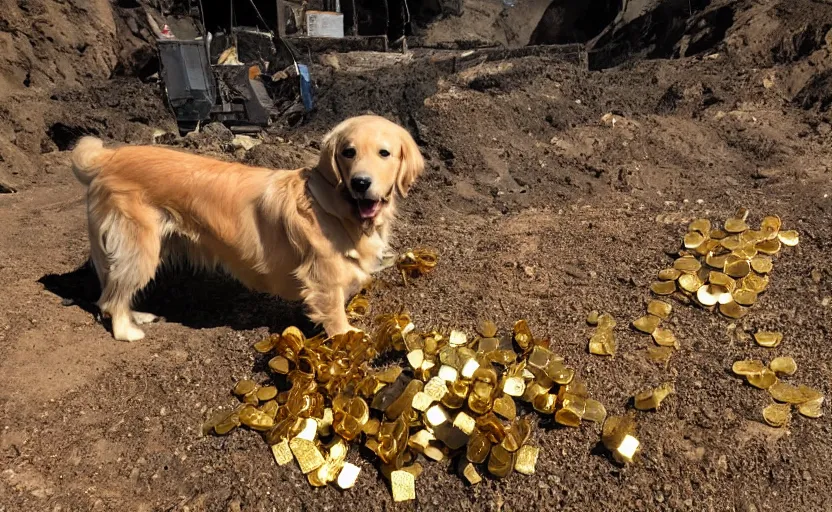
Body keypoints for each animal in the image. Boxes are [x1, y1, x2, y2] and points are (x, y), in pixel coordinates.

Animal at [70, 115, 422, 340]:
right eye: (348, 152)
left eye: (384, 153)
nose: (361, 183)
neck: (335, 206)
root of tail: (106, 158)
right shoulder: (322, 278)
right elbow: (335, 316)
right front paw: (348, 338)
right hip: (139, 246)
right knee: (111, 298)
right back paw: (127, 331)